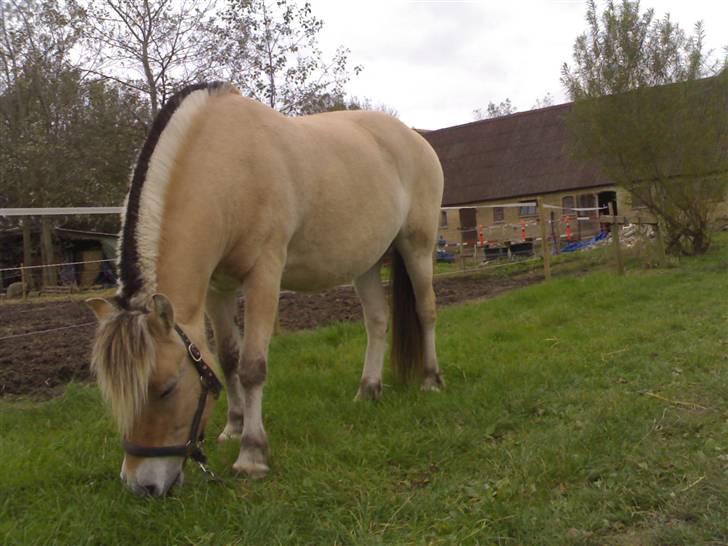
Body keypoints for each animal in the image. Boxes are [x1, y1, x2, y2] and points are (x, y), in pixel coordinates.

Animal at [89, 83, 446, 496]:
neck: (229, 165)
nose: (140, 485)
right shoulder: (217, 288)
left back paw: (431, 380)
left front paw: (252, 454)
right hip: (367, 262)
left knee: (426, 311)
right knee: (376, 321)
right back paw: (368, 390)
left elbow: (252, 366)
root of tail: (416, 139)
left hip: (417, 246)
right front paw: (234, 427)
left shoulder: (264, 275)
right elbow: (227, 359)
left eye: (167, 388)